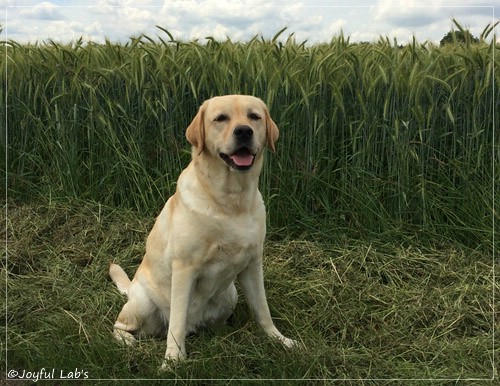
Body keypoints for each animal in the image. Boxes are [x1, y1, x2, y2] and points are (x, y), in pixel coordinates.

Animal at [109, 95, 296, 364]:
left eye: (254, 116)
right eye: (221, 118)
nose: (244, 131)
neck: (230, 201)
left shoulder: (252, 264)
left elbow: (263, 309)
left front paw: (278, 339)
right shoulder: (184, 269)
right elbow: (176, 322)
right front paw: (173, 361)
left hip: (230, 294)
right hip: (143, 303)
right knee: (120, 326)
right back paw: (128, 341)